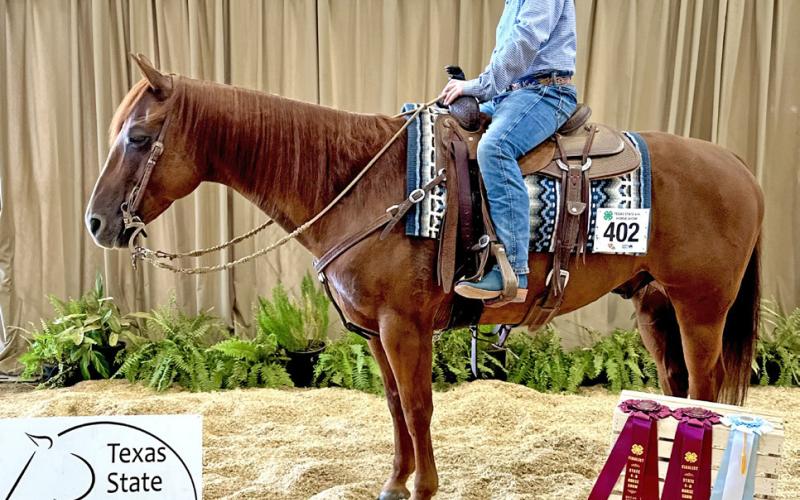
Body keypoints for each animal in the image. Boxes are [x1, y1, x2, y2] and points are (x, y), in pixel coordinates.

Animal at [85, 56, 763, 500]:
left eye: (138, 136)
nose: (96, 222)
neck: (362, 183)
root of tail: (738, 164)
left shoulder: (404, 327)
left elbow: (417, 405)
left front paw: (424, 487)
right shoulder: (374, 333)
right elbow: (392, 406)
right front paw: (394, 483)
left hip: (701, 308)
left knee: (706, 393)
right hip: (654, 304)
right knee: (675, 389)